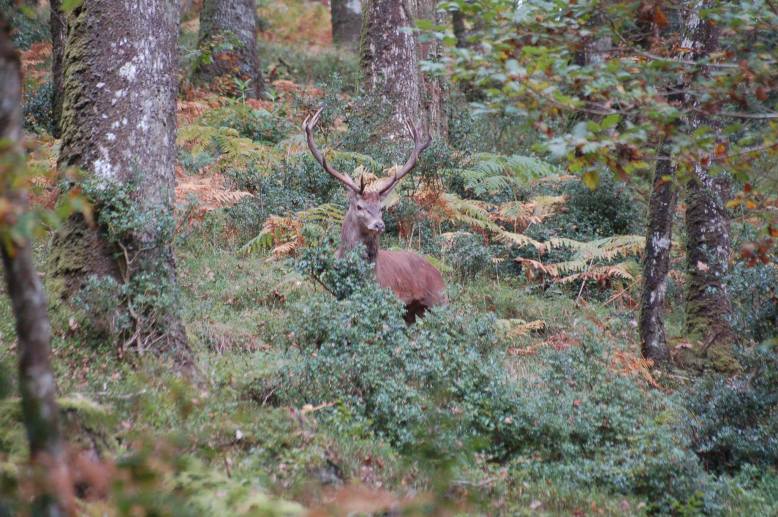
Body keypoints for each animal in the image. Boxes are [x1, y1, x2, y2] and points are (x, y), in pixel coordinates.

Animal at [302, 108, 447, 323]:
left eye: (381, 208)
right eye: (359, 206)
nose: (379, 225)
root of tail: (439, 274)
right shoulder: (335, 295)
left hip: (438, 301)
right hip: (412, 312)